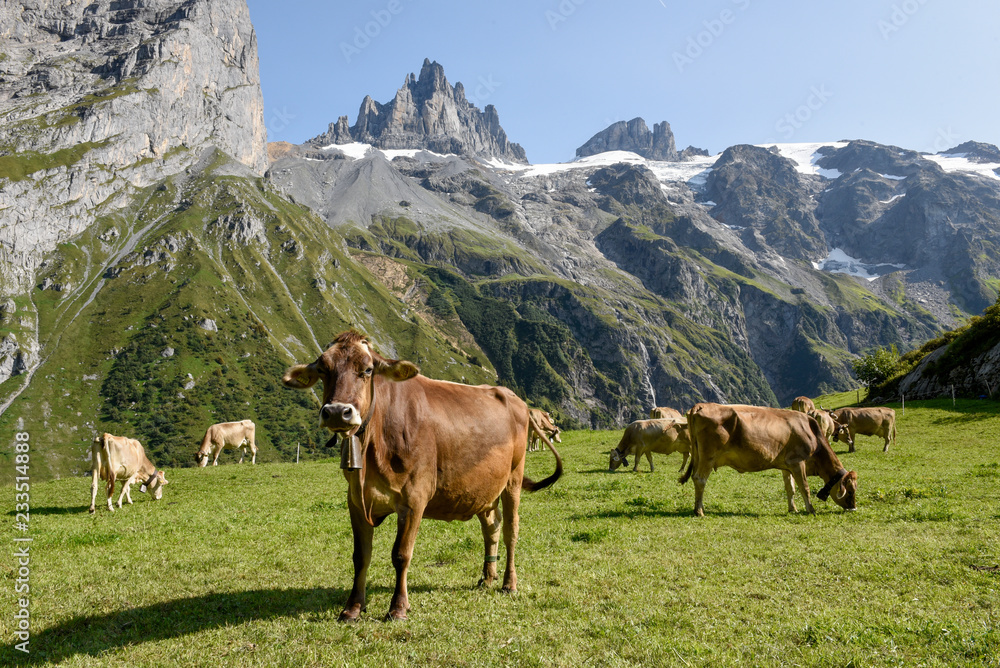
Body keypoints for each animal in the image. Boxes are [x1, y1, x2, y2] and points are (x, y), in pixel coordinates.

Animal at [282, 330, 563, 622]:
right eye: (323, 369)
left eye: (368, 370)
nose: (337, 412)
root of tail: (514, 398)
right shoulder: (356, 501)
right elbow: (360, 556)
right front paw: (352, 608)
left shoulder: (414, 498)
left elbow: (401, 554)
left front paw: (398, 607)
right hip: (484, 489)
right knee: (491, 527)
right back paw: (488, 577)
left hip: (513, 480)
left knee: (511, 530)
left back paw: (509, 582)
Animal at [679, 403, 858, 516]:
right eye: (850, 491)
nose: (853, 509)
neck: (812, 433)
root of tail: (700, 405)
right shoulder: (798, 462)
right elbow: (804, 488)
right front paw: (811, 510)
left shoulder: (787, 465)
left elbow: (790, 488)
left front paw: (793, 509)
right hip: (708, 456)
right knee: (700, 479)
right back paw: (699, 511)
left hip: (699, 455)